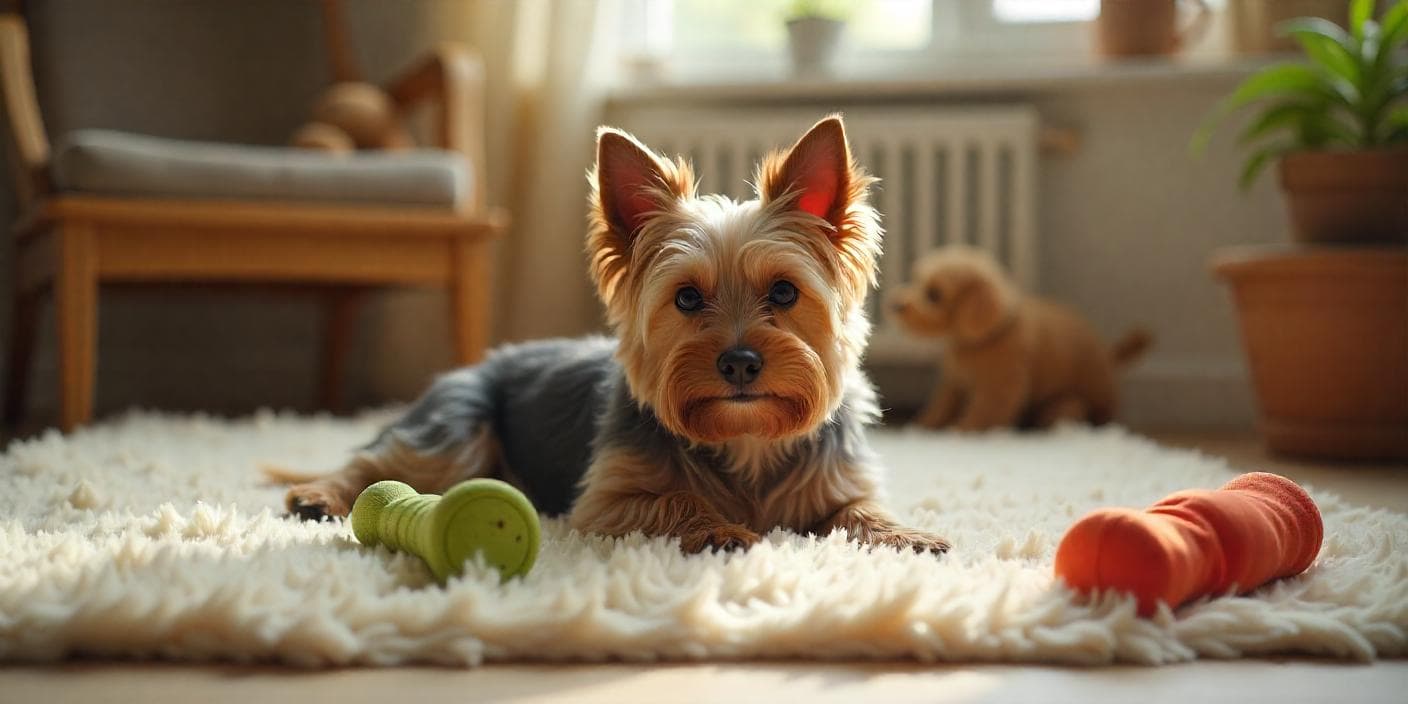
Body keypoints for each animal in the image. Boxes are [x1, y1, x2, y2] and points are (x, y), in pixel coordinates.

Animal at [895, 250, 1148, 430]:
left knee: (1079, 409)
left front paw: (962, 429)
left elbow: (985, 411)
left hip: (1083, 399)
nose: (895, 304)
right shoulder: (956, 380)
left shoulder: (1000, 383)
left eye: (934, 295)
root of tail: (1108, 356)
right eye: (916, 279)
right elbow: (942, 405)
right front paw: (924, 425)